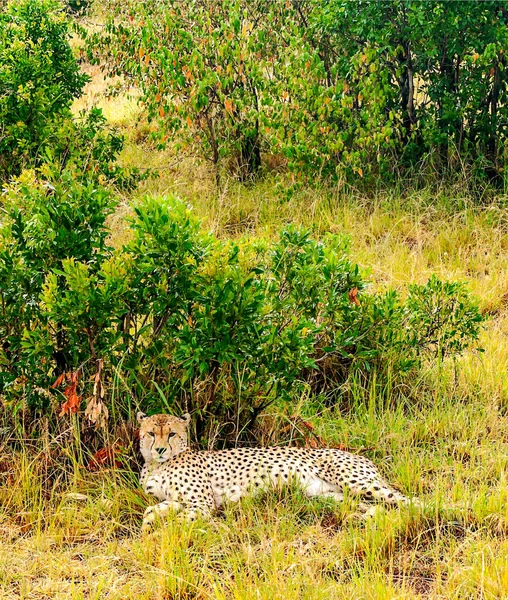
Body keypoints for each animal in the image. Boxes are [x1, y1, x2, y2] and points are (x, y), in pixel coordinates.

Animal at [139, 412, 420, 528]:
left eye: (171, 434)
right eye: (152, 433)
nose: (160, 449)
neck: (156, 465)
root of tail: (360, 455)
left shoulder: (203, 502)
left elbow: (179, 521)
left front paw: (161, 534)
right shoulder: (176, 499)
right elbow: (152, 510)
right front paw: (150, 524)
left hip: (354, 480)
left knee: (410, 502)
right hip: (329, 496)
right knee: (379, 508)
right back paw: (360, 519)